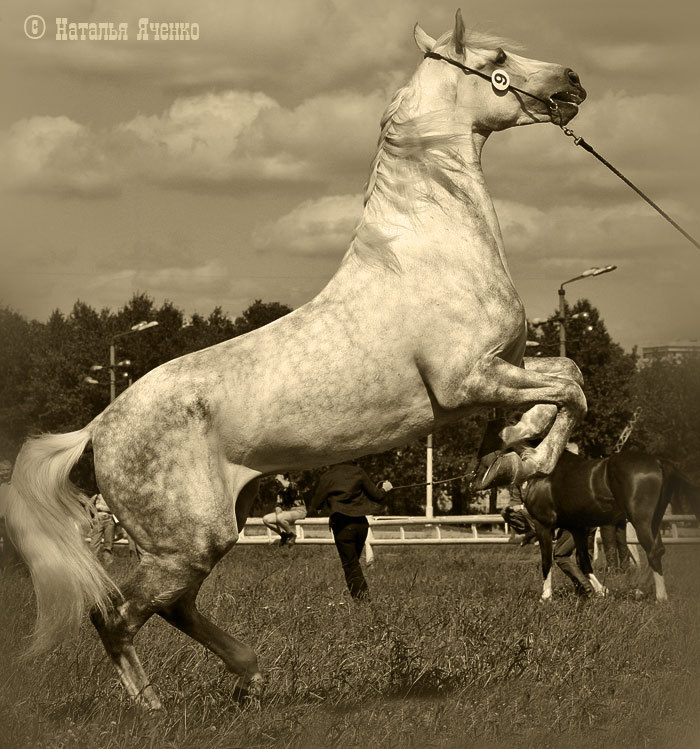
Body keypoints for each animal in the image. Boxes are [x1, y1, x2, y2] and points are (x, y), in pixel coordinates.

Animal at [6, 13, 584, 712]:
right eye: (497, 59)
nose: (572, 80)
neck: (430, 254)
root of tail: (96, 427)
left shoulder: (500, 372)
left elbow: (561, 383)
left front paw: (509, 452)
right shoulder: (467, 380)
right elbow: (572, 389)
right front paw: (529, 460)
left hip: (214, 531)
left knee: (173, 608)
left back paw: (250, 674)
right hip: (186, 542)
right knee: (117, 614)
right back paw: (156, 709)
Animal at [524, 450, 696, 600]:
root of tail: (659, 461)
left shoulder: (543, 524)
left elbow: (547, 562)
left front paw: (545, 597)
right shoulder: (577, 528)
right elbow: (583, 562)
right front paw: (602, 592)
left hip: (641, 521)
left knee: (652, 551)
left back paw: (659, 597)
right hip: (655, 521)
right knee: (658, 550)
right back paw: (641, 590)